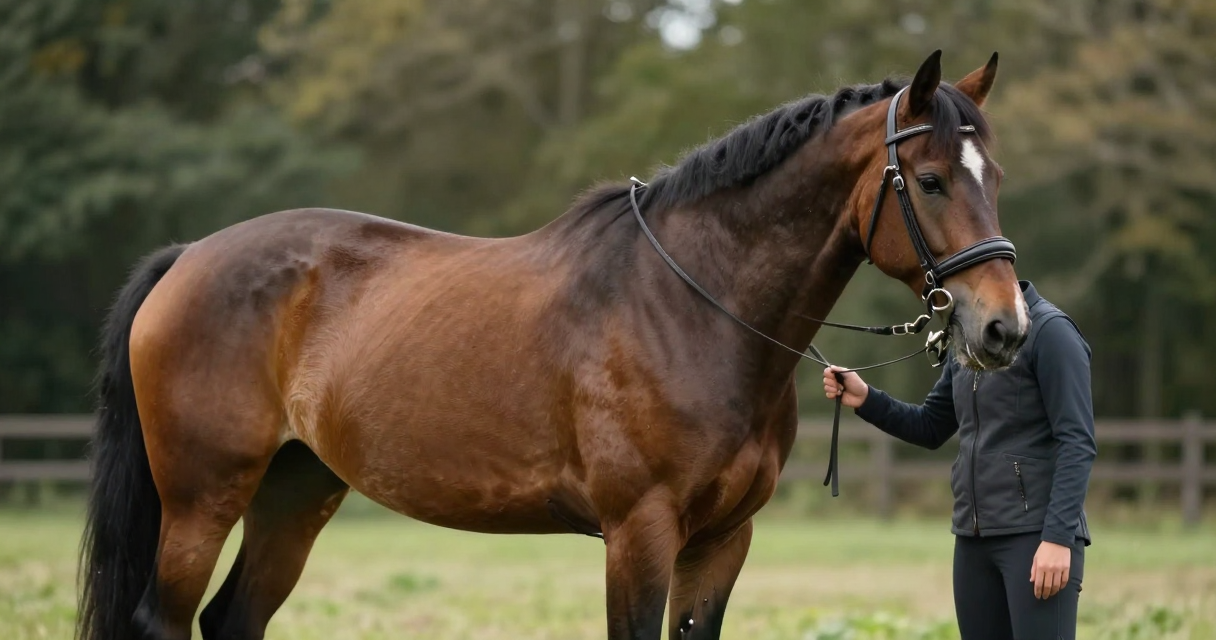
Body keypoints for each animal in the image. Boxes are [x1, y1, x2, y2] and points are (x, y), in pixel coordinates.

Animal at [78, 50, 1027, 640]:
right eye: (930, 180)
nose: (1003, 327)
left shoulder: (723, 541)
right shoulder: (638, 534)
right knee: (167, 619)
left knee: (235, 618)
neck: (697, 307)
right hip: (200, 500)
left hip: (295, 491)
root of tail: (188, 257)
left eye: (996, 178)